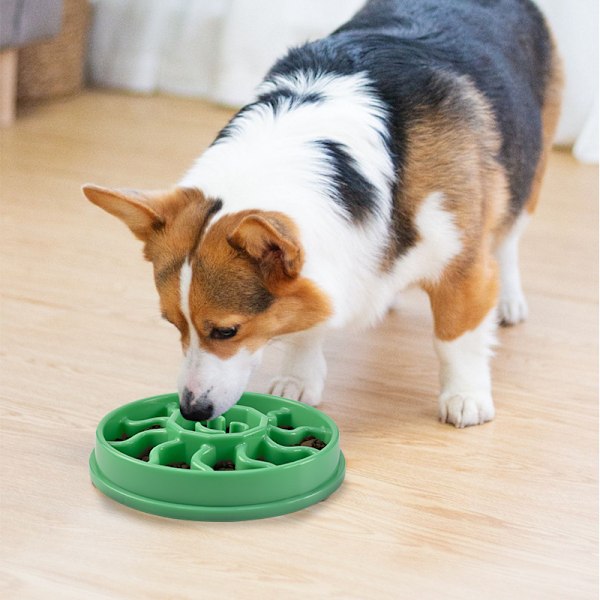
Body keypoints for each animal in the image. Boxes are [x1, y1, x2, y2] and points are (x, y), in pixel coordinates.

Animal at [83, 0, 564, 426]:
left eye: (226, 331)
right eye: (173, 324)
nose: (191, 411)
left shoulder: (461, 266)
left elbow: (455, 338)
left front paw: (465, 397)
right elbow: (304, 323)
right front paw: (298, 379)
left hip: (528, 174)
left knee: (507, 241)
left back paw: (508, 301)